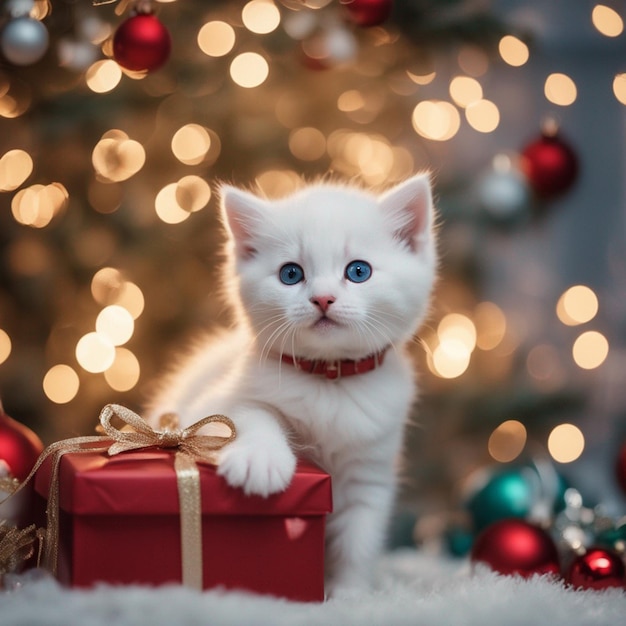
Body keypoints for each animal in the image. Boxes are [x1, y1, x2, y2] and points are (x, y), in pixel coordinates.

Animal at [145, 174, 438, 596]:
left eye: (359, 271)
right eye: (291, 274)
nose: (323, 298)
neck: (329, 381)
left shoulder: (371, 467)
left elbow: (360, 538)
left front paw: (349, 594)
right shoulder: (216, 400)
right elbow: (250, 412)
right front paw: (261, 461)